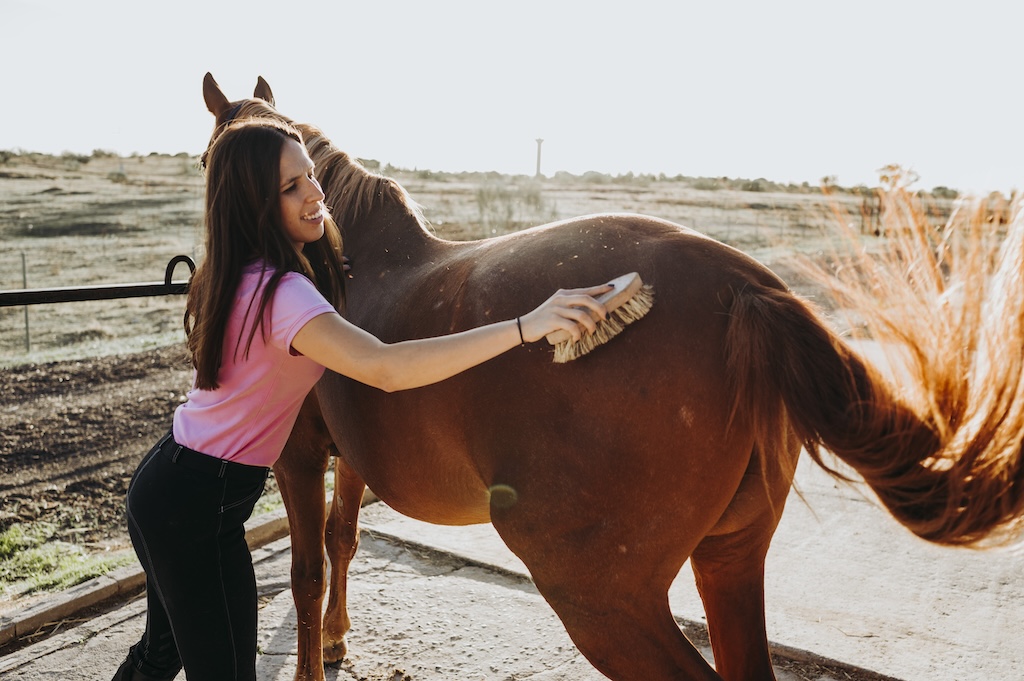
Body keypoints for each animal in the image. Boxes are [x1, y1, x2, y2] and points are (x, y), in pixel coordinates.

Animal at [197, 74, 1024, 679]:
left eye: (206, 161)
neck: (342, 259)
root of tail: (740, 284)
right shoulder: (348, 455)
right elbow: (342, 541)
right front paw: (338, 638)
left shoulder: (300, 452)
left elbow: (306, 569)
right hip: (729, 558)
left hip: (600, 598)